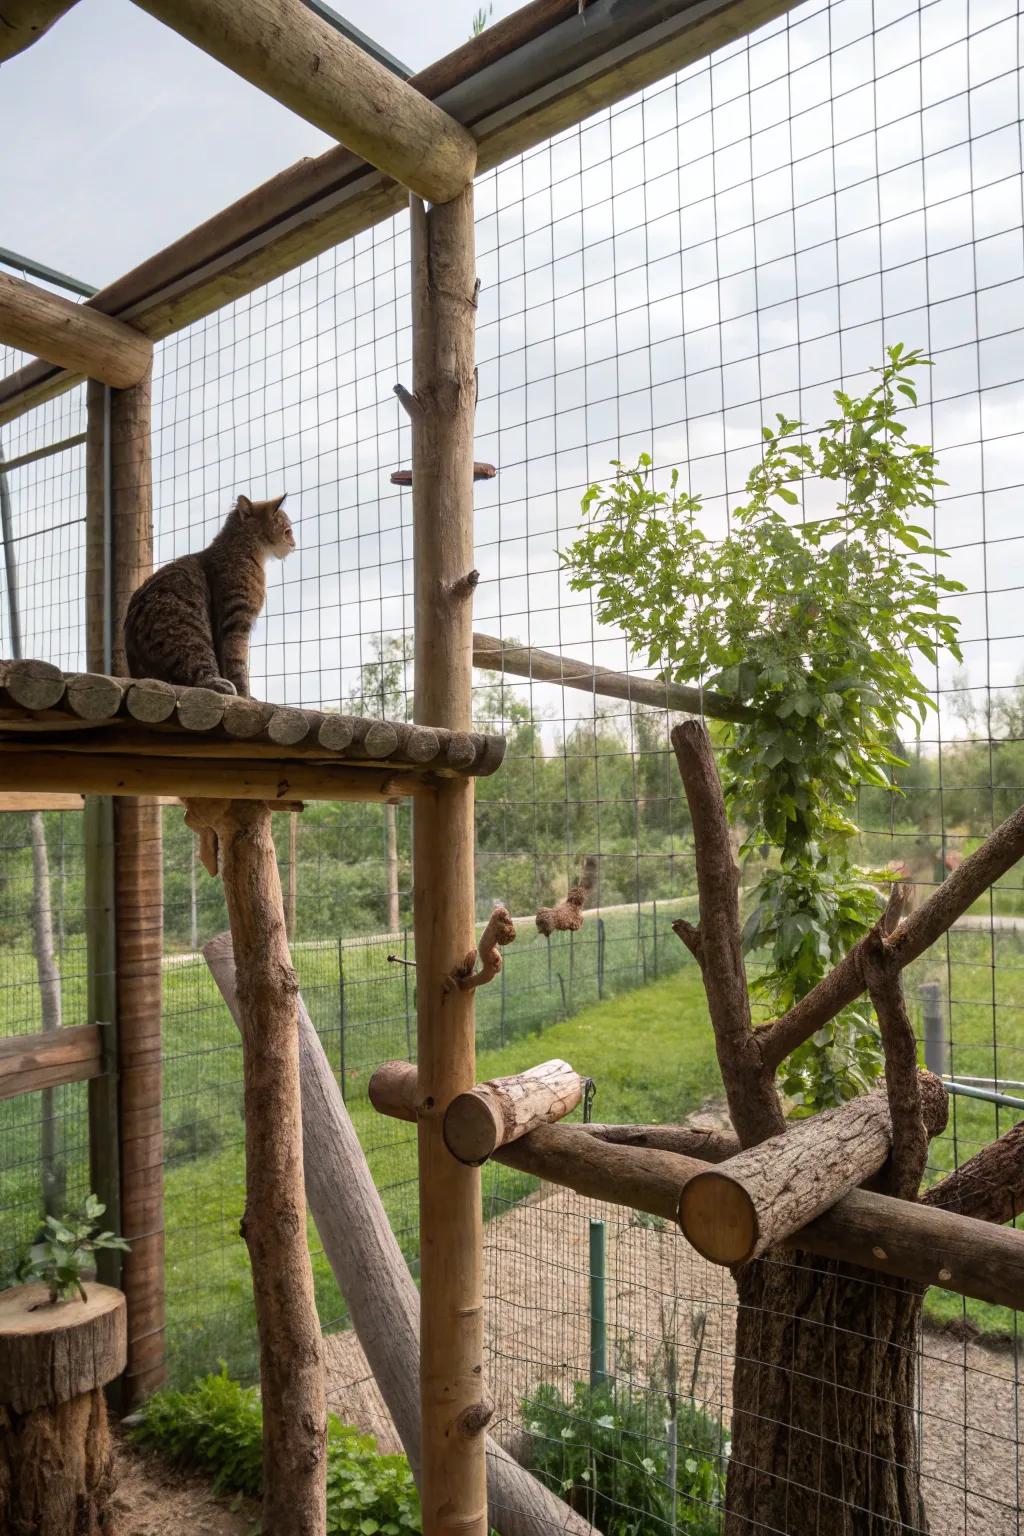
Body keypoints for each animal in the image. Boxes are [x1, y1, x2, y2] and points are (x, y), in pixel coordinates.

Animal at [122, 491, 296, 697]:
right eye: (288, 531)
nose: (294, 544)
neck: (241, 549)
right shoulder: (236, 620)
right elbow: (237, 664)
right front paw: (245, 695)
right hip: (190, 634)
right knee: (199, 676)